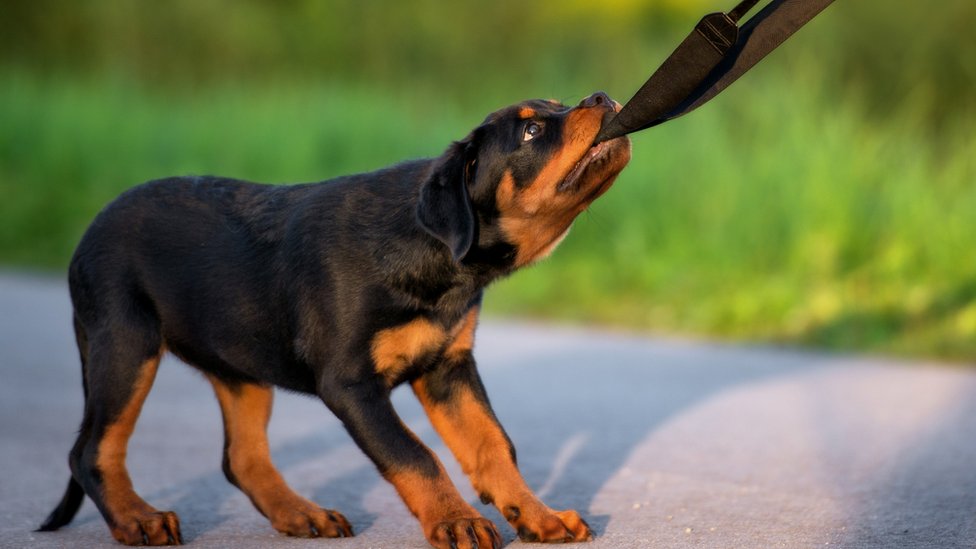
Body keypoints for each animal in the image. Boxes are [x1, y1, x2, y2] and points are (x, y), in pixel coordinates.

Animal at [38, 90, 632, 544]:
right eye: (531, 133)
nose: (602, 97)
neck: (433, 250)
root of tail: (88, 232)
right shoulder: (350, 383)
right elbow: (414, 455)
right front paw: (457, 522)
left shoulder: (448, 368)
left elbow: (493, 446)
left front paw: (539, 517)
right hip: (126, 342)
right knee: (91, 450)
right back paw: (139, 520)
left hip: (238, 362)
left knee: (242, 457)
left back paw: (302, 514)